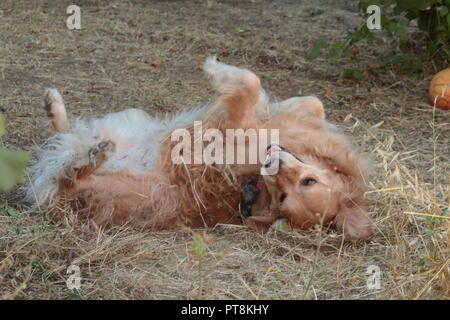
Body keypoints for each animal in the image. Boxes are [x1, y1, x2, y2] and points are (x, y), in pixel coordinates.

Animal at [26, 57, 374, 239]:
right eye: (307, 181)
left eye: (285, 198)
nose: (269, 165)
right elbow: (307, 101)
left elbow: (250, 81)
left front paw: (213, 68)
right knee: (63, 135)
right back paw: (53, 107)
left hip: (88, 191)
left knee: (66, 177)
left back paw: (91, 157)